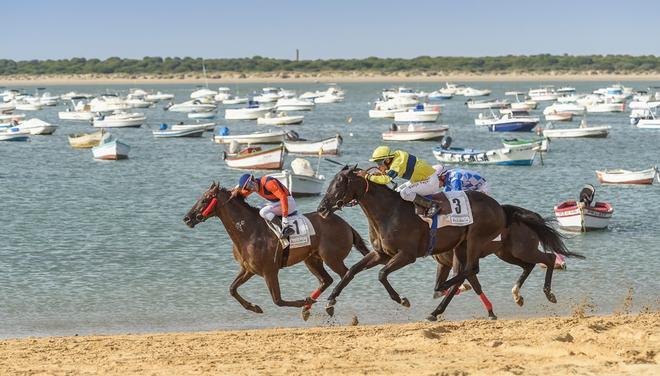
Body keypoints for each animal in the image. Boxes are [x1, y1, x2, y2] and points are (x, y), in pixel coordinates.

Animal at [184, 182, 372, 320]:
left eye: (205, 199)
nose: (187, 218)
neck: (248, 231)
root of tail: (346, 224)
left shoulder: (270, 271)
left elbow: (278, 300)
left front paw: (301, 301)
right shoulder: (248, 269)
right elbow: (232, 289)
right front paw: (254, 307)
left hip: (331, 258)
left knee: (346, 274)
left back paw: (327, 303)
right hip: (312, 259)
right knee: (326, 280)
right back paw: (309, 306)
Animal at [318, 166, 508, 318]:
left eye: (338, 185)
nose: (321, 208)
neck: (389, 212)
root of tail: (498, 207)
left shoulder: (407, 255)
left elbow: (381, 274)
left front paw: (401, 299)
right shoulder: (381, 254)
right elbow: (351, 271)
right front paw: (330, 301)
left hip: (476, 239)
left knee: (470, 270)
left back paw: (443, 289)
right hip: (461, 246)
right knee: (464, 273)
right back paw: (436, 310)